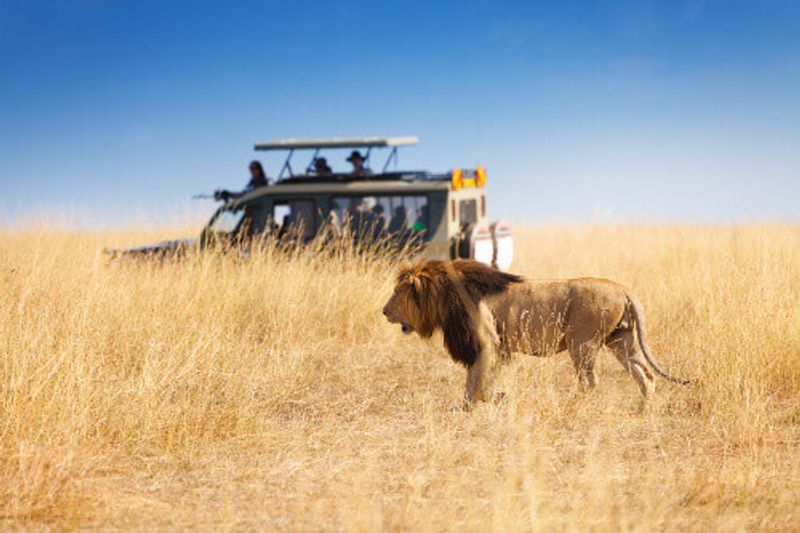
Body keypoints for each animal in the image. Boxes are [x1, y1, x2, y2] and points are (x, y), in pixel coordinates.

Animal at [382, 258, 688, 404]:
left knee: (590, 382)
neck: (445, 294)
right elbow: (473, 382)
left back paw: (571, 405)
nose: (384, 311)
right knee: (645, 375)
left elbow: (479, 382)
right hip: (621, 340)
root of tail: (624, 290)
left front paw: (495, 399)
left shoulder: (488, 342)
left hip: (582, 343)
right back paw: (642, 411)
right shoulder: (490, 348)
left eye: (398, 293)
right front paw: (468, 406)